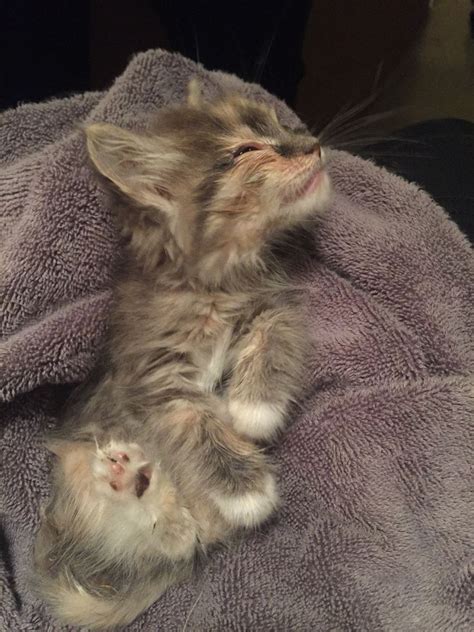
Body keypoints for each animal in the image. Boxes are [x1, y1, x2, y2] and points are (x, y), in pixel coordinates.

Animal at [33, 79, 332, 628]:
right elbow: (194, 420)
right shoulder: (155, 375)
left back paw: (142, 487)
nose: (312, 144)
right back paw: (133, 486)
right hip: (75, 468)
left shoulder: (275, 306)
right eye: (245, 150)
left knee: (182, 543)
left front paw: (253, 409)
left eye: (278, 124)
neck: (214, 282)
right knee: (168, 542)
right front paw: (244, 488)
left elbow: (272, 338)